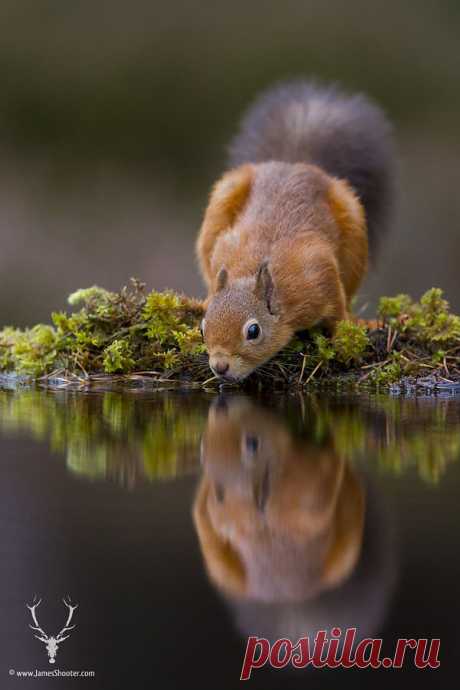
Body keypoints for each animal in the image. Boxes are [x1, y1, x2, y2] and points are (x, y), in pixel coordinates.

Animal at [196, 83, 394, 382]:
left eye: (253, 331)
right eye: (203, 327)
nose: (220, 367)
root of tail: (295, 163)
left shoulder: (318, 271)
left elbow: (337, 310)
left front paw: (345, 339)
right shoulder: (223, 247)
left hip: (355, 231)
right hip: (222, 200)